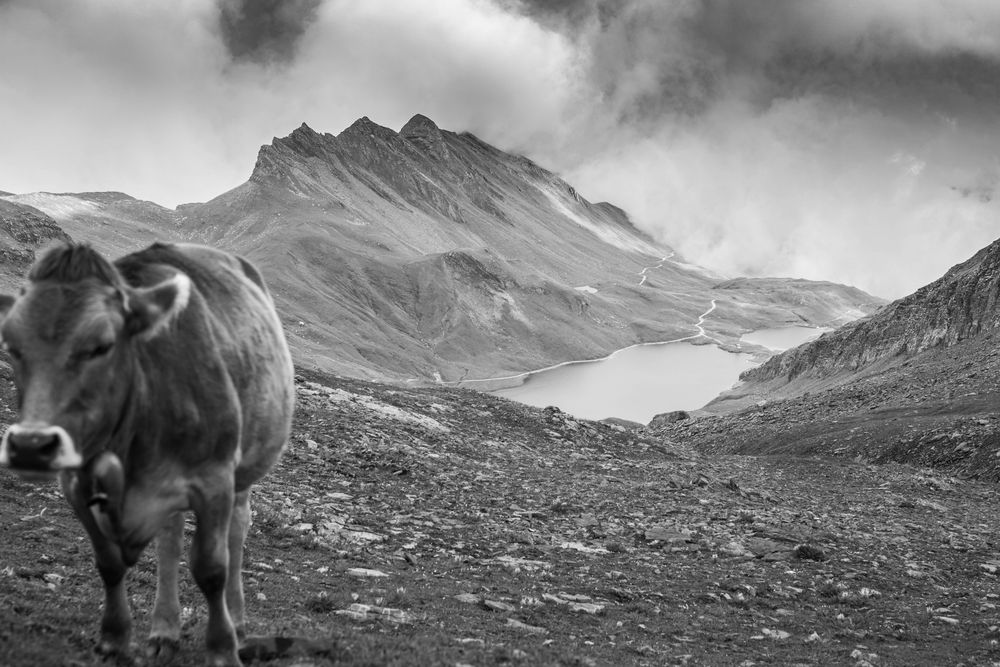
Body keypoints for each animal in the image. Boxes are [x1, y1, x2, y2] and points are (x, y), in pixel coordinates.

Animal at [0, 244, 294, 667]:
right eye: (11, 345)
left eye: (102, 345)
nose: (30, 446)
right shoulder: (75, 483)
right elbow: (108, 563)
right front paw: (114, 639)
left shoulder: (215, 479)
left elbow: (211, 568)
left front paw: (223, 648)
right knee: (169, 541)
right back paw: (164, 630)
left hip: (244, 471)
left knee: (237, 533)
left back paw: (238, 626)